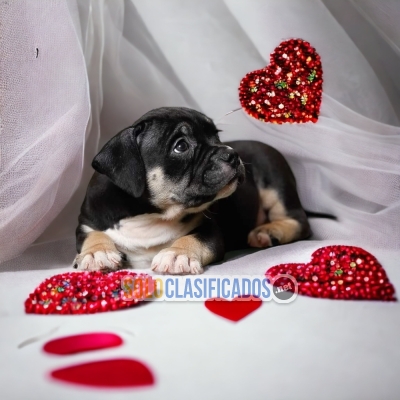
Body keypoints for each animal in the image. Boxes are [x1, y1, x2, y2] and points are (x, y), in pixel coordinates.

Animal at [75, 107, 312, 276]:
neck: (150, 215)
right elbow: (92, 234)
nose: (232, 154)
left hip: (274, 176)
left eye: (217, 137)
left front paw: (177, 254)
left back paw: (269, 231)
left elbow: (194, 238)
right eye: (181, 146)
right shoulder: (86, 222)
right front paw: (97, 253)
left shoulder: (209, 229)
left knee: (299, 220)